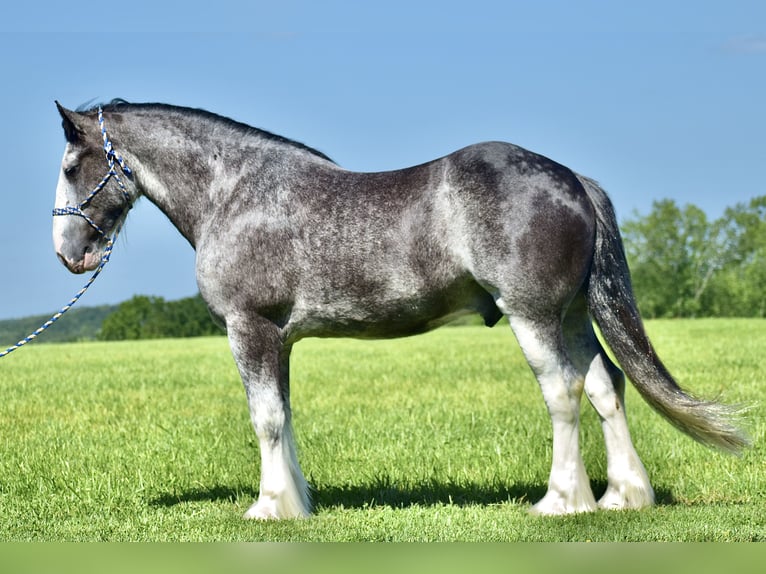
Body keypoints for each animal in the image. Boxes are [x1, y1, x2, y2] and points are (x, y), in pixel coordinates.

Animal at [49, 101, 752, 520]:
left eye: (72, 163)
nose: (68, 252)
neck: (237, 192)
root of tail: (574, 180)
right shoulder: (279, 339)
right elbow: (284, 417)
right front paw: (297, 503)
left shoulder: (250, 328)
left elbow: (266, 420)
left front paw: (269, 508)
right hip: (574, 314)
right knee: (606, 384)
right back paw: (624, 498)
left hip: (532, 316)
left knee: (563, 391)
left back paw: (561, 502)